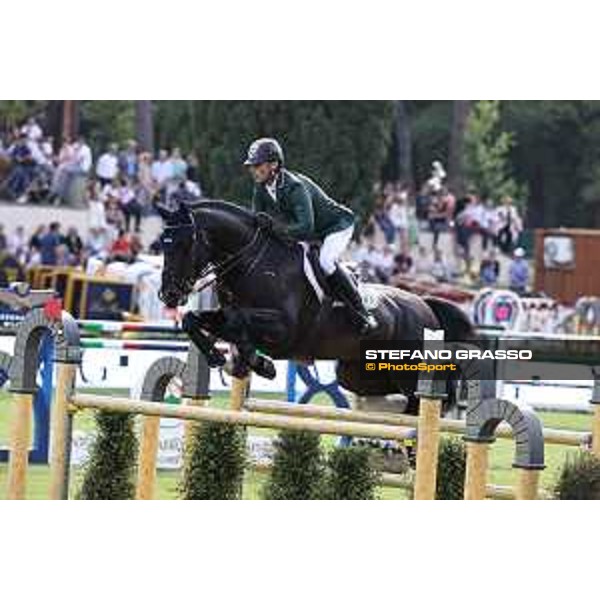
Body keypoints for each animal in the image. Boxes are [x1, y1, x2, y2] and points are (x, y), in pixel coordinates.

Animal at [157, 199, 476, 414]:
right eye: (163, 243)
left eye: (185, 244)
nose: (168, 295)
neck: (251, 262)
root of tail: (425, 304)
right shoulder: (226, 315)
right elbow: (193, 320)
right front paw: (222, 357)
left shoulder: (283, 329)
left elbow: (238, 321)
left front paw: (257, 361)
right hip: (359, 373)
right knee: (390, 397)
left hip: (407, 370)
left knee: (421, 401)